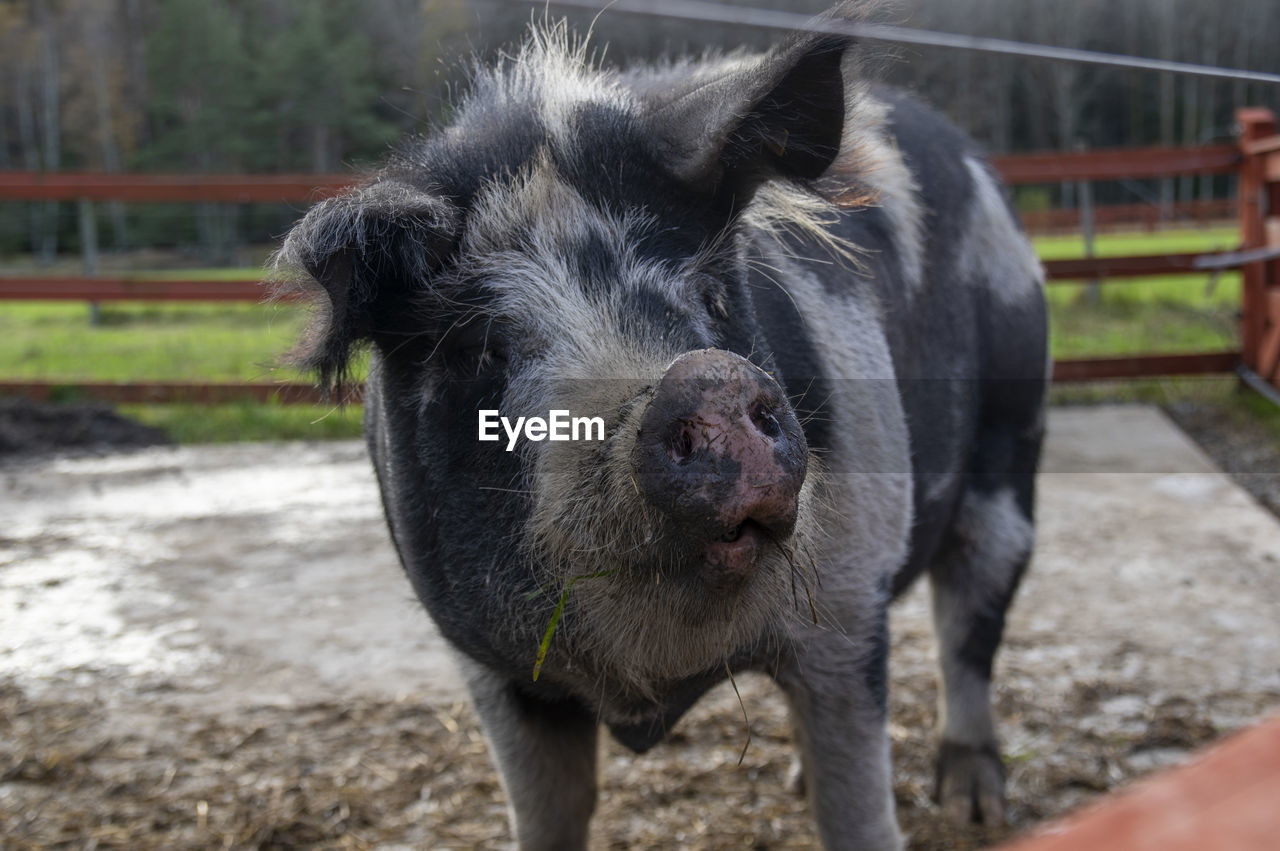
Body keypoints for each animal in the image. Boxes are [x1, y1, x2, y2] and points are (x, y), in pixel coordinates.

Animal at [275, 8, 1044, 849]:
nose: (703, 378)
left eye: (710, 298)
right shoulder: (490, 667)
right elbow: (548, 812)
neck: (647, 686)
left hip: (1012, 440)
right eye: (483, 347)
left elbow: (858, 807)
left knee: (970, 622)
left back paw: (973, 805)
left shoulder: (848, 601)